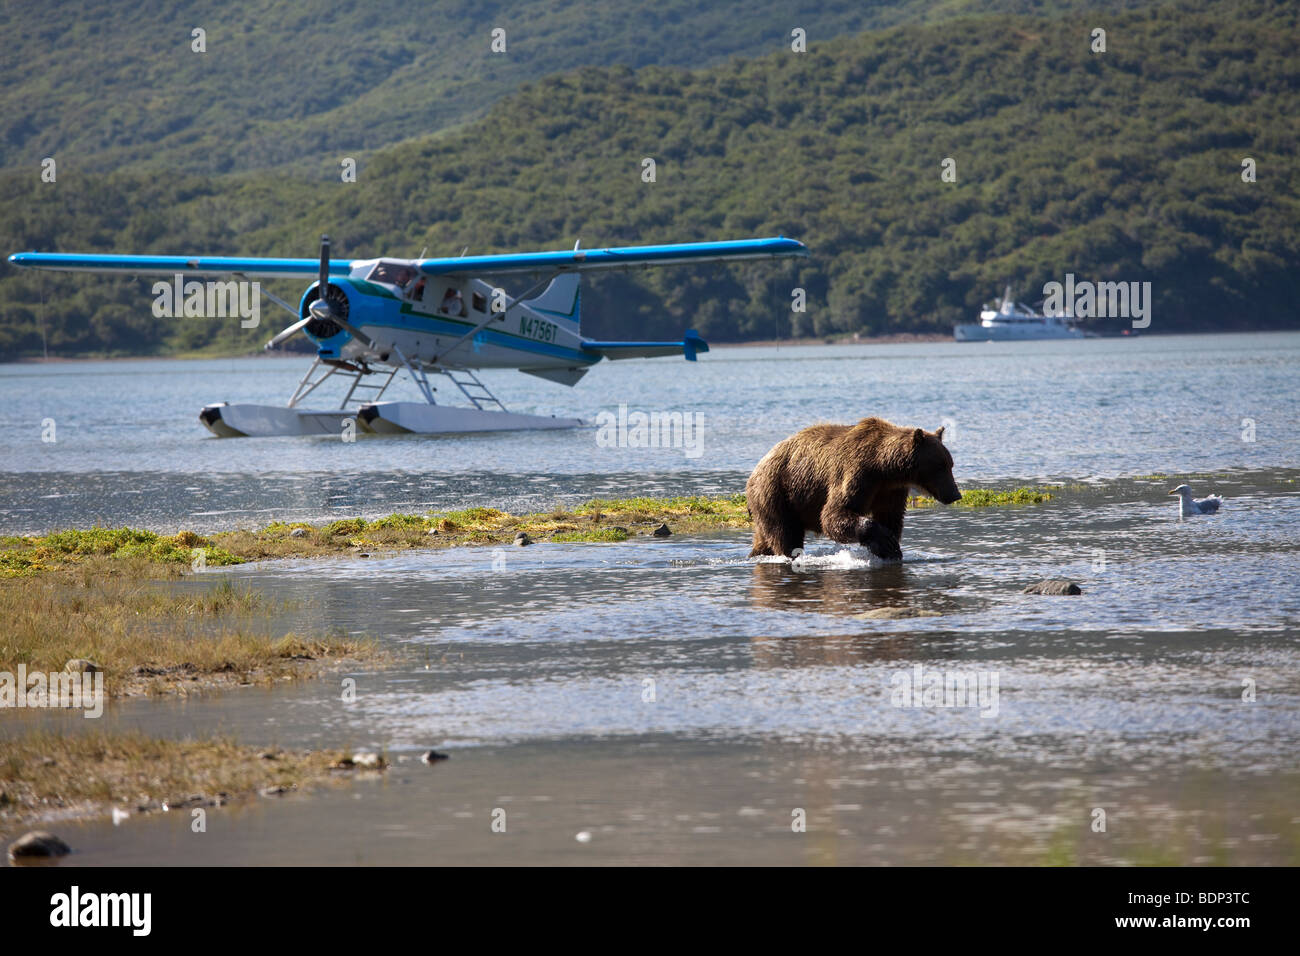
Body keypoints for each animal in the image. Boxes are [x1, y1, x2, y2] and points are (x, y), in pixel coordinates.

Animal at [745, 417, 961, 561]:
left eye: (950, 464)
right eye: (940, 466)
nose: (955, 494)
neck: (885, 469)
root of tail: (755, 471)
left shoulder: (891, 490)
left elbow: (891, 517)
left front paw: (891, 548)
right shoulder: (857, 474)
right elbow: (834, 513)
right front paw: (885, 543)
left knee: (765, 538)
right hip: (777, 492)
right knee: (785, 534)